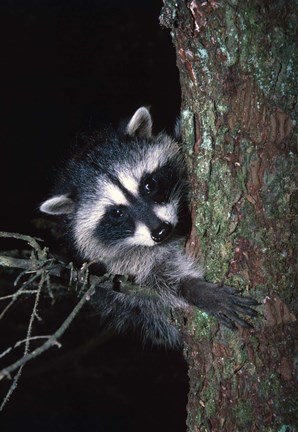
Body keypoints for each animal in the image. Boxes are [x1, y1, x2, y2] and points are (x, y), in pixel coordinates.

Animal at [40, 106, 258, 346]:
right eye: (117, 213)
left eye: (149, 185)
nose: (161, 231)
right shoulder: (119, 264)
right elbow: (154, 284)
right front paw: (192, 288)